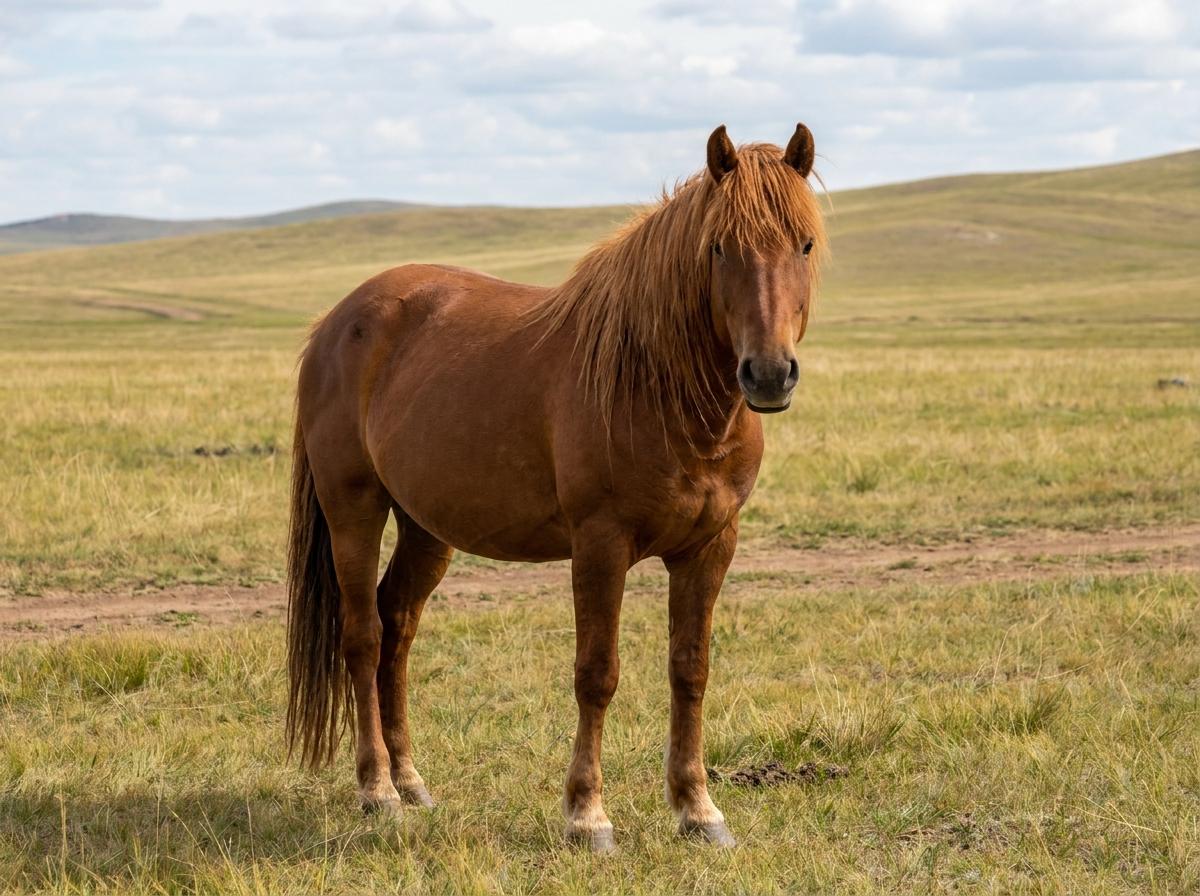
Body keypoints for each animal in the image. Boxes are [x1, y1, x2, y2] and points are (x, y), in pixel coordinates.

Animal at [286, 123, 827, 852]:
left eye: (804, 243)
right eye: (720, 248)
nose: (768, 375)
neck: (658, 385)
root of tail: (338, 320)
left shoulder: (711, 546)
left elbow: (690, 669)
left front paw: (698, 809)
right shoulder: (600, 544)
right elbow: (596, 675)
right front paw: (587, 816)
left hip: (425, 526)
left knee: (397, 629)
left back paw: (411, 782)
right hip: (355, 510)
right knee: (363, 636)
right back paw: (377, 791)